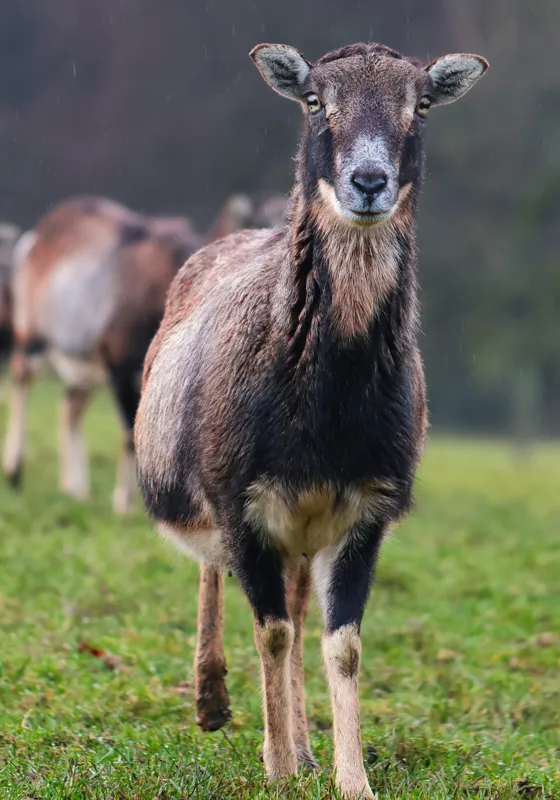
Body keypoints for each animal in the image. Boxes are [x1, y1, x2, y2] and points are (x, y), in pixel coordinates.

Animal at [3, 196, 202, 513]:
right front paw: (124, 505)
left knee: (70, 407)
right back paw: (14, 472)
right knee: (22, 380)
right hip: (31, 338)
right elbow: (130, 436)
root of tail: (35, 240)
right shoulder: (120, 367)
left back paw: (76, 490)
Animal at [135, 42, 488, 798]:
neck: (326, 411)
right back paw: (213, 704)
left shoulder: (364, 509)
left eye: (420, 105)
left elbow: (340, 644)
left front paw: (348, 777)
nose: (368, 181)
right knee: (222, 580)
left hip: (301, 532)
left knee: (299, 612)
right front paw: (272, 766)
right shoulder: (241, 501)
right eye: (316, 102)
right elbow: (269, 631)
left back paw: (301, 746)